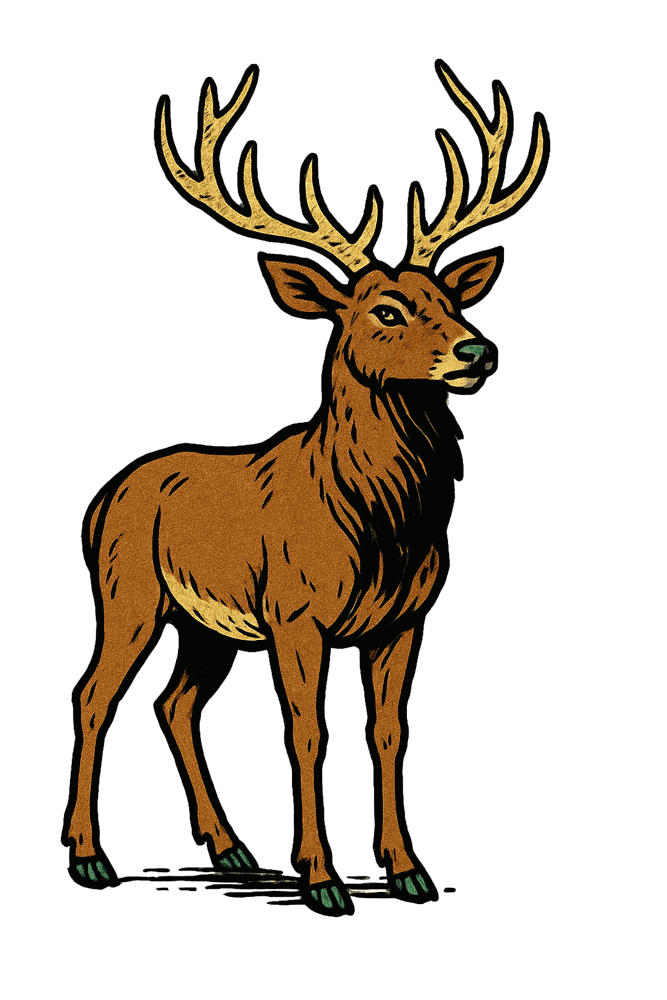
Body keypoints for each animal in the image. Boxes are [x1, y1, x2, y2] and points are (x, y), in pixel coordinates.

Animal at [62, 58, 549, 915]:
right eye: (385, 309)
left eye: (450, 299)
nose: (477, 350)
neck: (373, 520)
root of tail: (103, 499)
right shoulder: (296, 610)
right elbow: (305, 732)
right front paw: (322, 880)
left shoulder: (406, 618)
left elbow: (388, 733)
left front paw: (409, 870)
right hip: (128, 591)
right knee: (95, 695)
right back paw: (91, 857)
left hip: (207, 627)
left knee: (173, 701)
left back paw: (231, 849)